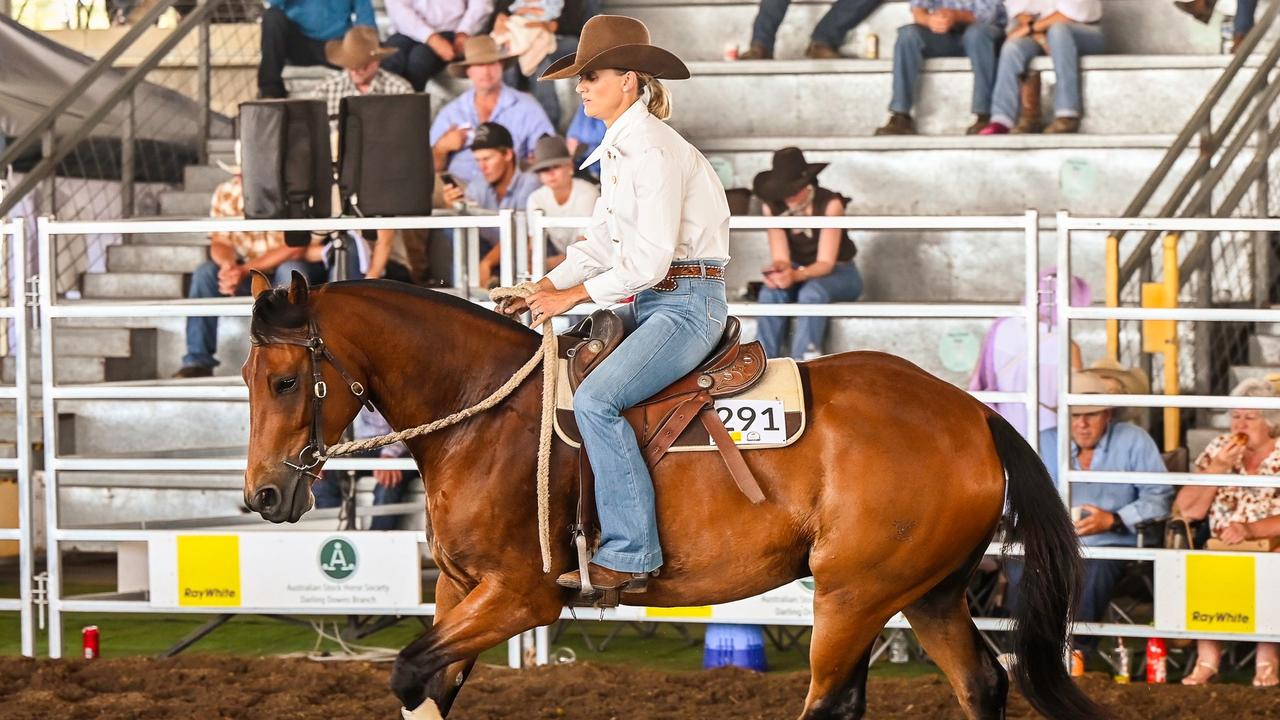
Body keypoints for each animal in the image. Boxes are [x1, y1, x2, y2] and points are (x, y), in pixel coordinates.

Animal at [244, 270, 1105, 717]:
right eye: (248, 375)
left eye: (286, 380)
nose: (263, 496)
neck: (486, 416)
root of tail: (973, 417)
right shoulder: (459, 593)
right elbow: (429, 679)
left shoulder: (523, 596)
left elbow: (409, 670)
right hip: (926, 593)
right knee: (981, 684)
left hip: (855, 594)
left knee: (833, 701)